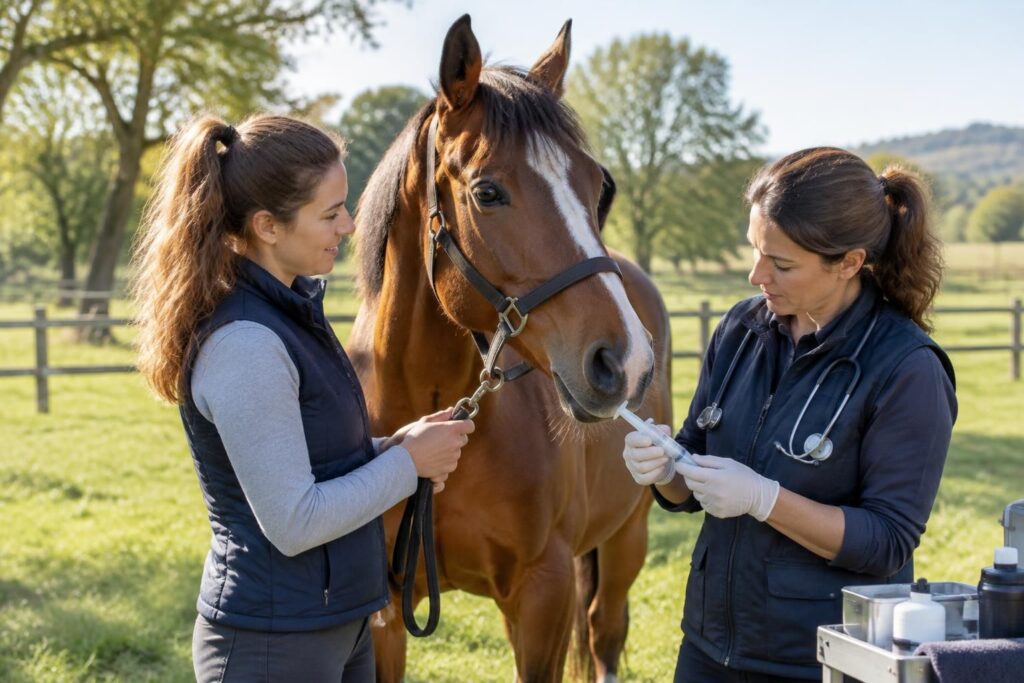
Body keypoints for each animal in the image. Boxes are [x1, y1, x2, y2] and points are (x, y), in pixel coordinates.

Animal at [346, 15, 673, 682]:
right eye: (488, 192)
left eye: (599, 186)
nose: (626, 362)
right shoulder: (386, 613)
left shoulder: (545, 592)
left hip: (627, 537)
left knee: (606, 630)